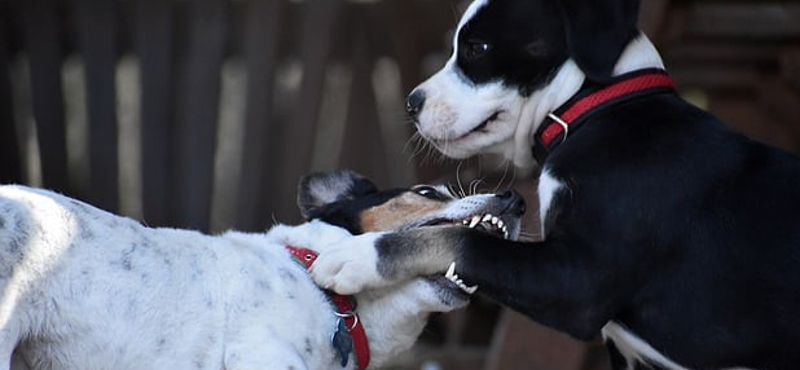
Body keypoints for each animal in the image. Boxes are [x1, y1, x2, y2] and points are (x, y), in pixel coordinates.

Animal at [310, 0, 800, 370]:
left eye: (477, 47)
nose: (412, 103)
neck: (597, 112)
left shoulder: (576, 283)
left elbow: (463, 240)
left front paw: (356, 256)